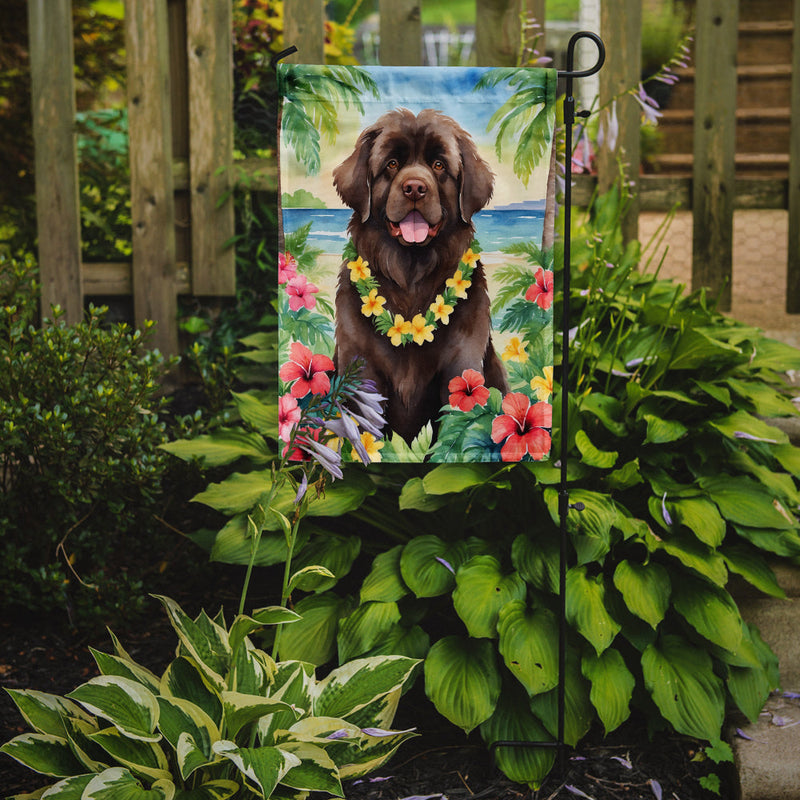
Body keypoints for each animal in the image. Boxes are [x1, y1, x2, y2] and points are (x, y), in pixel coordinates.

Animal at [330, 106, 506, 444]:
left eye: (438, 165)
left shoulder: (461, 364)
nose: (414, 187)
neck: (410, 276)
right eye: (392, 164)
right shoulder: (362, 366)